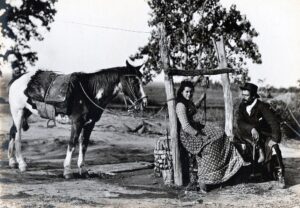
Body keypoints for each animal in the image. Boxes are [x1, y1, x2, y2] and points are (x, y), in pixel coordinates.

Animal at [7, 60, 148, 179]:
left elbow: (84, 145)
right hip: (18, 112)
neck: (90, 92)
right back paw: (22, 164)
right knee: (18, 136)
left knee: (12, 132)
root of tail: (17, 79)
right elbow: (72, 143)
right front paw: (67, 171)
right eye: (133, 81)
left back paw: (12, 161)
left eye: (141, 80)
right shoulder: (77, 122)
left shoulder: (89, 124)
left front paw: (83, 170)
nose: (144, 103)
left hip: (26, 112)